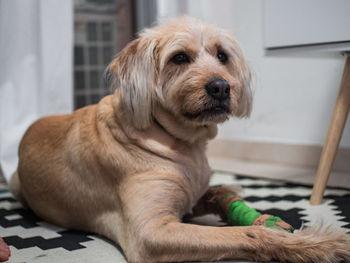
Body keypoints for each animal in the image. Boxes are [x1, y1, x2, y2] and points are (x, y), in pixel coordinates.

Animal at [11, 17, 350, 262]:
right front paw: (318, 244)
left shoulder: (188, 198)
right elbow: (243, 235)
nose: (221, 87)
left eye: (222, 55)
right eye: (179, 57)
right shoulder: (151, 232)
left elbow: (217, 194)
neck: (179, 140)